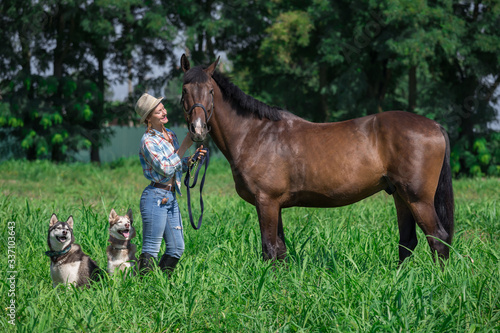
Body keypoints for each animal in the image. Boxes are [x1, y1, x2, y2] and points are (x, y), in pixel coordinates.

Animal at [180, 53, 454, 262]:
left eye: (210, 91)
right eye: (185, 90)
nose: (198, 130)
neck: (255, 134)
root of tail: (435, 126)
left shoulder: (266, 201)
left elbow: (269, 249)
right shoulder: (275, 204)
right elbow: (280, 250)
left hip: (418, 198)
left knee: (438, 239)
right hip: (400, 195)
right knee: (407, 241)